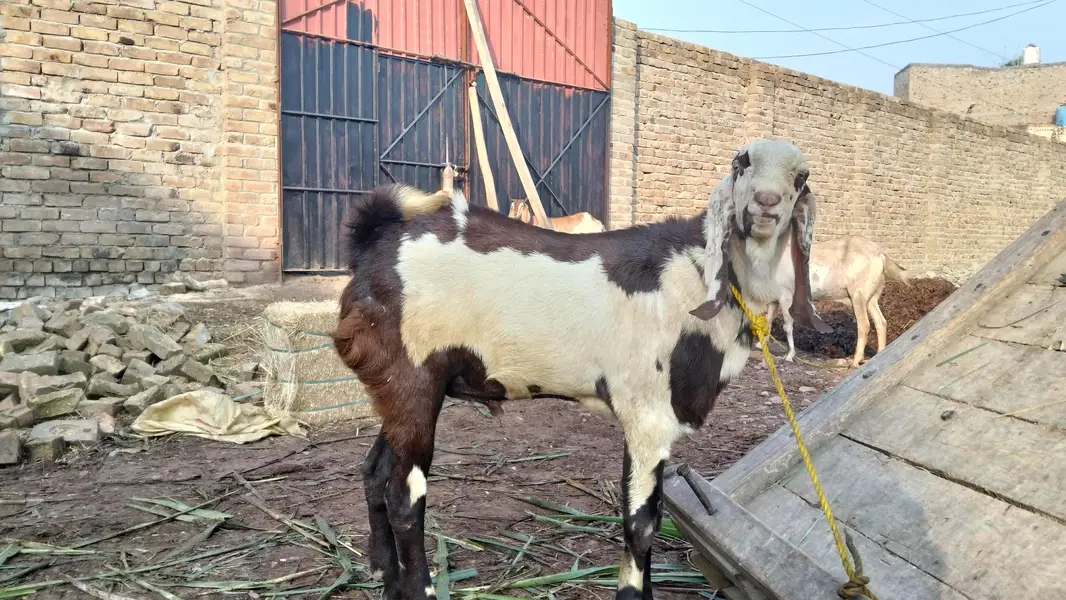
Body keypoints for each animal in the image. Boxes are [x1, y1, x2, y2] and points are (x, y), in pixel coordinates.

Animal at [331, 138, 831, 600]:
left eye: (802, 176)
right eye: (740, 163)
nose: (766, 202)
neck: (698, 277)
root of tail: (375, 239)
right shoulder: (648, 417)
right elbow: (641, 524)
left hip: (397, 389)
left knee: (374, 471)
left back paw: (385, 576)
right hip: (413, 379)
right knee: (404, 500)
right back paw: (419, 588)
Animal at [760, 234, 911, 367]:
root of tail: (880, 254)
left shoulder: (786, 294)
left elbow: (788, 326)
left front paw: (789, 355)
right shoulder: (774, 299)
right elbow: (768, 321)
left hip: (858, 295)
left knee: (864, 325)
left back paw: (855, 361)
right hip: (871, 298)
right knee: (881, 322)